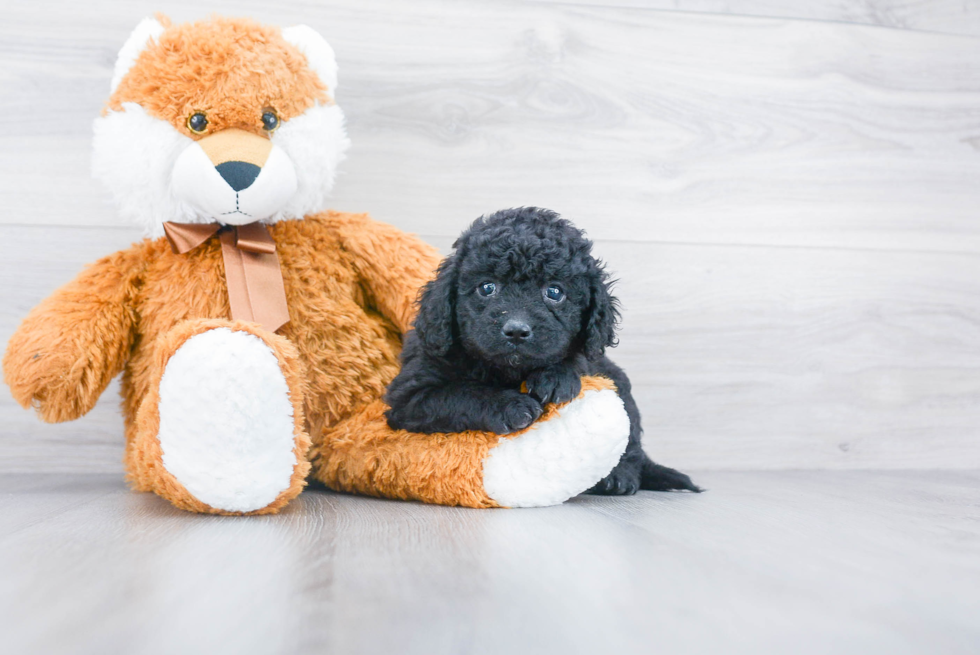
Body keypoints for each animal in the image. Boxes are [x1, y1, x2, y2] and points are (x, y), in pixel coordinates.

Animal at [382, 208, 696, 494]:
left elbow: (571, 360)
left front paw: (555, 378)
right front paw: (510, 406)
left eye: (554, 292)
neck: (507, 370)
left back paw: (618, 477)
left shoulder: (589, 360)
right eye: (487, 287)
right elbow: (460, 393)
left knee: (632, 441)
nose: (517, 331)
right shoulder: (410, 396)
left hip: (618, 383)